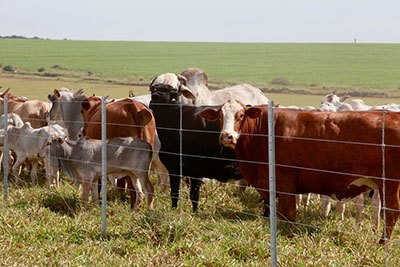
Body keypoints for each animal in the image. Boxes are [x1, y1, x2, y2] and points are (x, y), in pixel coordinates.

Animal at [202, 99, 400, 244]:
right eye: (220, 115)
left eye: (241, 115)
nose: (226, 136)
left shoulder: (285, 181)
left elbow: (288, 213)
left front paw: (289, 233)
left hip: (389, 183)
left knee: (391, 212)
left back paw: (383, 242)